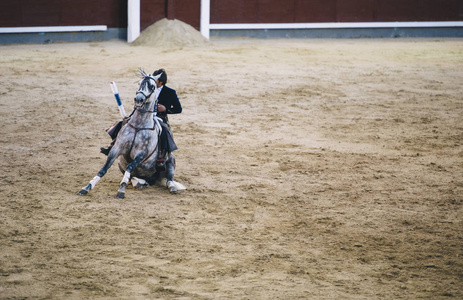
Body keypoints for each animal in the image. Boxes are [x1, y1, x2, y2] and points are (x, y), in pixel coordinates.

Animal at [77, 69, 179, 198]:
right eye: (139, 83)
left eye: (152, 86)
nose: (138, 99)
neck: (139, 126)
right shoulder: (117, 148)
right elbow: (104, 168)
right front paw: (87, 187)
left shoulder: (141, 154)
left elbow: (130, 167)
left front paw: (121, 190)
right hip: (123, 165)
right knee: (136, 178)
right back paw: (139, 183)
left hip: (171, 161)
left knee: (169, 178)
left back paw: (171, 187)